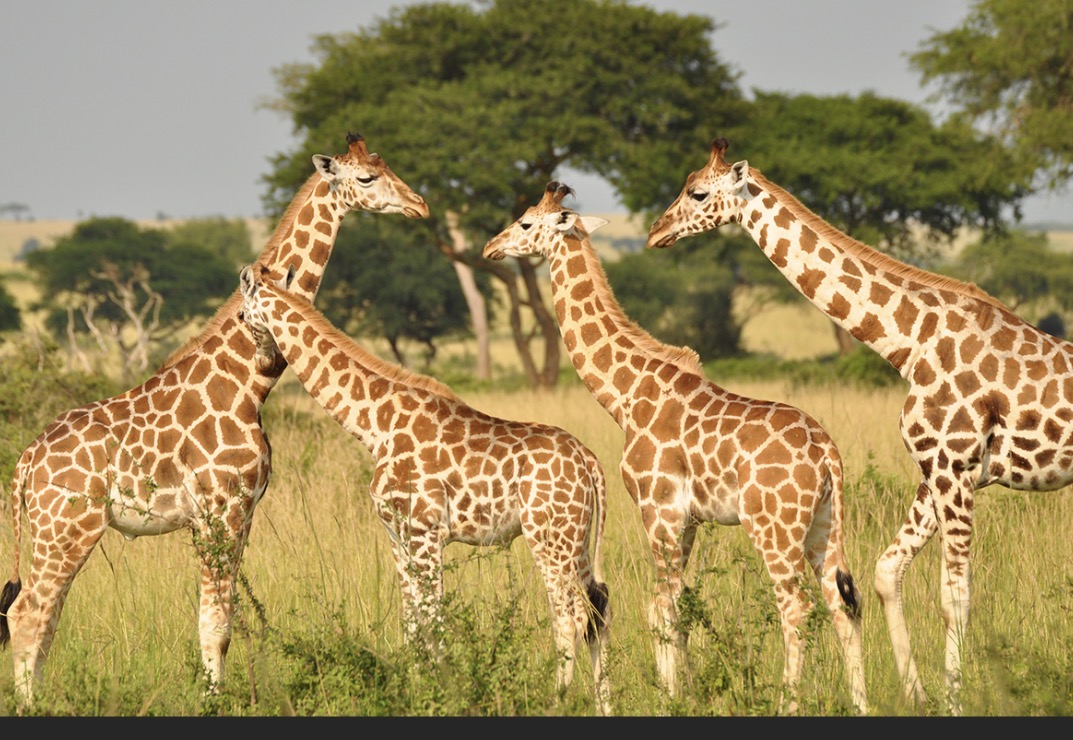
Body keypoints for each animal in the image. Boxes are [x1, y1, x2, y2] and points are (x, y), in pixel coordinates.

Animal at [0, 133, 428, 708]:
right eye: (366, 178)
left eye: (386, 165)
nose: (420, 205)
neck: (248, 381)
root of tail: (25, 462)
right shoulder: (220, 509)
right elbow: (216, 623)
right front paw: (213, 701)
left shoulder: (241, 513)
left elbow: (221, 619)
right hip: (67, 525)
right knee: (29, 612)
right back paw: (30, 705)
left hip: (60, 529)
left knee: (45, 614)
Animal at [236, 262, 613, 715]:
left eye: (242, 313)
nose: (262, 360)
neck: (373, 425)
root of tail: (590, 461)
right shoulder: (397, 534)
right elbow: (412, 621)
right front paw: (417, 689)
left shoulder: (425, 531)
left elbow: (434, 619)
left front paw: (442, 694)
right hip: (577, 539)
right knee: (598, 608)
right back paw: (605, 704)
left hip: (548, 538)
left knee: (570, 615)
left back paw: (557, 700)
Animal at [483, 181, 867, 716]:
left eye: (524, 222)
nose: (489, 248)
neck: (625, 395)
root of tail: (828, 454)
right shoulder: (687, 520)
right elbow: (678, 604)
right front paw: (683, 691)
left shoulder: (657, 508)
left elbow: (659, 605)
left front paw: (670, 697)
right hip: (824, 527)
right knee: (841, 605)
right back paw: (862, 704)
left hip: (775, 528)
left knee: (796, 607)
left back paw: (786, 703)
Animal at [645, 137, 1073, 715]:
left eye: (697, 192)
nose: (655, 231)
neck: (909, 344)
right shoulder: (944, 470)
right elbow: (886, 573)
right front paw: (916, 694)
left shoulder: (954, 467)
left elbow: (954, 597)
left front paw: (954, 701)